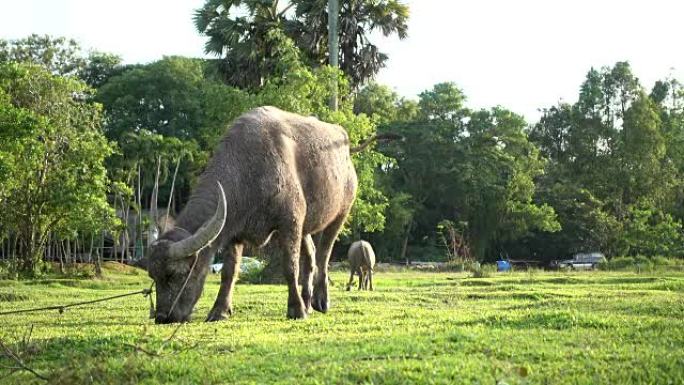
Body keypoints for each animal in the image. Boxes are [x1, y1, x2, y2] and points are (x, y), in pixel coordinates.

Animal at [147, 106, 388, 322]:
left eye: (178, 274)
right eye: (153, 275)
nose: (162, 317)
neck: (247, 168)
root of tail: (344, 144)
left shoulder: (289, 223)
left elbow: (290, 267)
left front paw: (296, 310)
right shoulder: (234, 231)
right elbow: (229, 273)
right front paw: (219, 311)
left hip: (340, 214)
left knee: (323, 255)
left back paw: (320, 301)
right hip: (305, 226)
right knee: (310, 257)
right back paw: (308, 302)